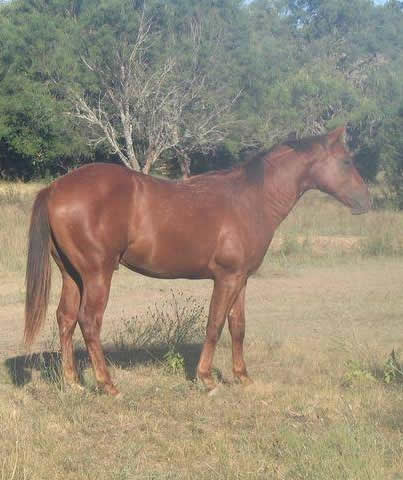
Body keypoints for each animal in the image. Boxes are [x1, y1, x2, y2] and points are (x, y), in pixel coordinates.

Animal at [24, 126, 372, 394]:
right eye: (346, 161)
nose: (366, 201)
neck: (251, 199)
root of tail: (54, 189)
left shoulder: (241, 278)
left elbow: (237, 325)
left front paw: (242, 377)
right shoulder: (227, 278)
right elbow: (215, 324)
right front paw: (206, 379)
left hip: (73, 274)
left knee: (66, 318)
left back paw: (72, 382)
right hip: (97, 274)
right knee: (88, 322)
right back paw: (108, 384)